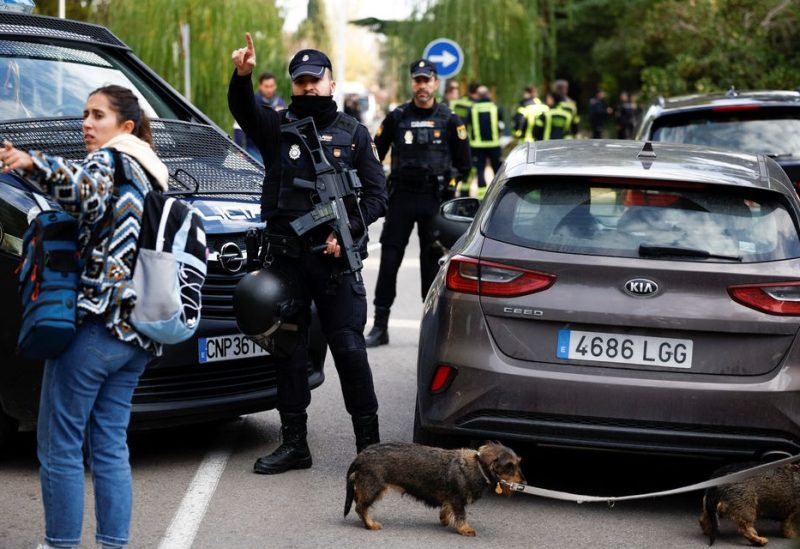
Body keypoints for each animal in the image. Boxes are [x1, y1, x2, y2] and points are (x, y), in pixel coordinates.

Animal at [342, 440, 524, 536]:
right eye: (510, 466)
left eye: (518, 463)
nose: (524, 483)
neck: (478, 467)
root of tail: (360, 456)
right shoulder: (458, 499)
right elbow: (461, 515)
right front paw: (465, 529)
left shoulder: (451, 499)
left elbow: (446, 509)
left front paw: (444, 518)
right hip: (374, 488)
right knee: (360, 507)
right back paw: (370, 524)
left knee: (358, 500)